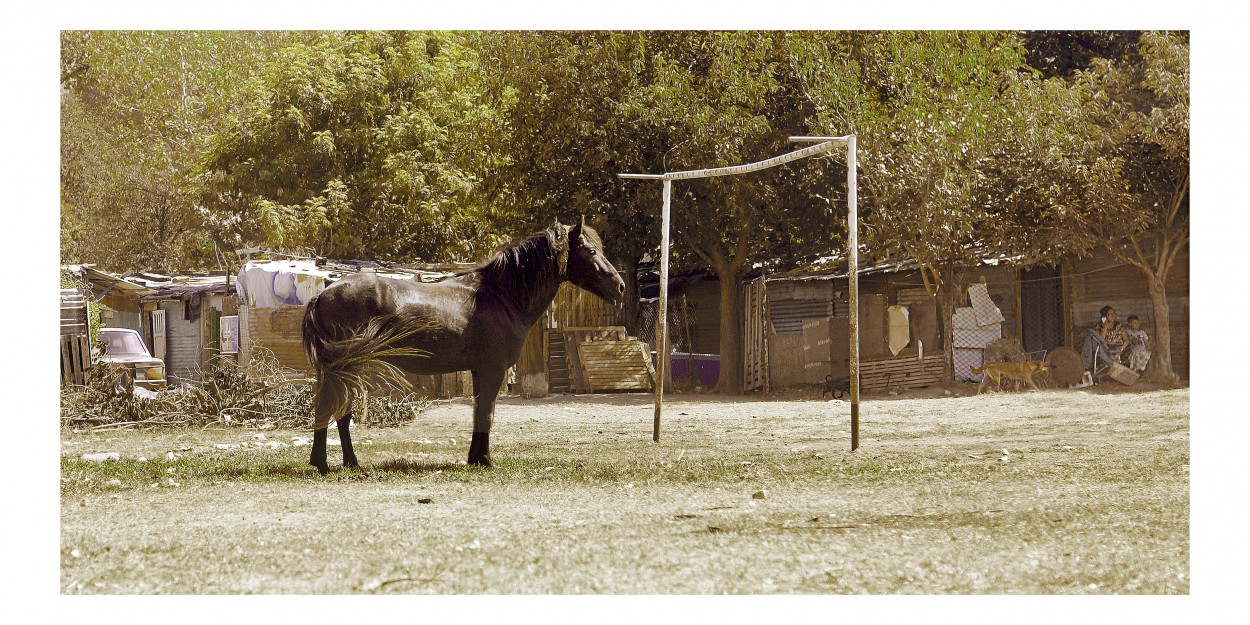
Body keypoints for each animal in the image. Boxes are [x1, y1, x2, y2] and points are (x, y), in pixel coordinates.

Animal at [302, 220, 625, 472]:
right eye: (591, 251)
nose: (619, 286)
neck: (499, 296)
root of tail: (323, 294)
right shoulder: (493, 369)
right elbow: (486, 413)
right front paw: (485, 460)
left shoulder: (480, 371)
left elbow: (479, 412)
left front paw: (475, 458)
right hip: (345, 369)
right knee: (334, 411)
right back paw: (338, 464)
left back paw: (336, 463)